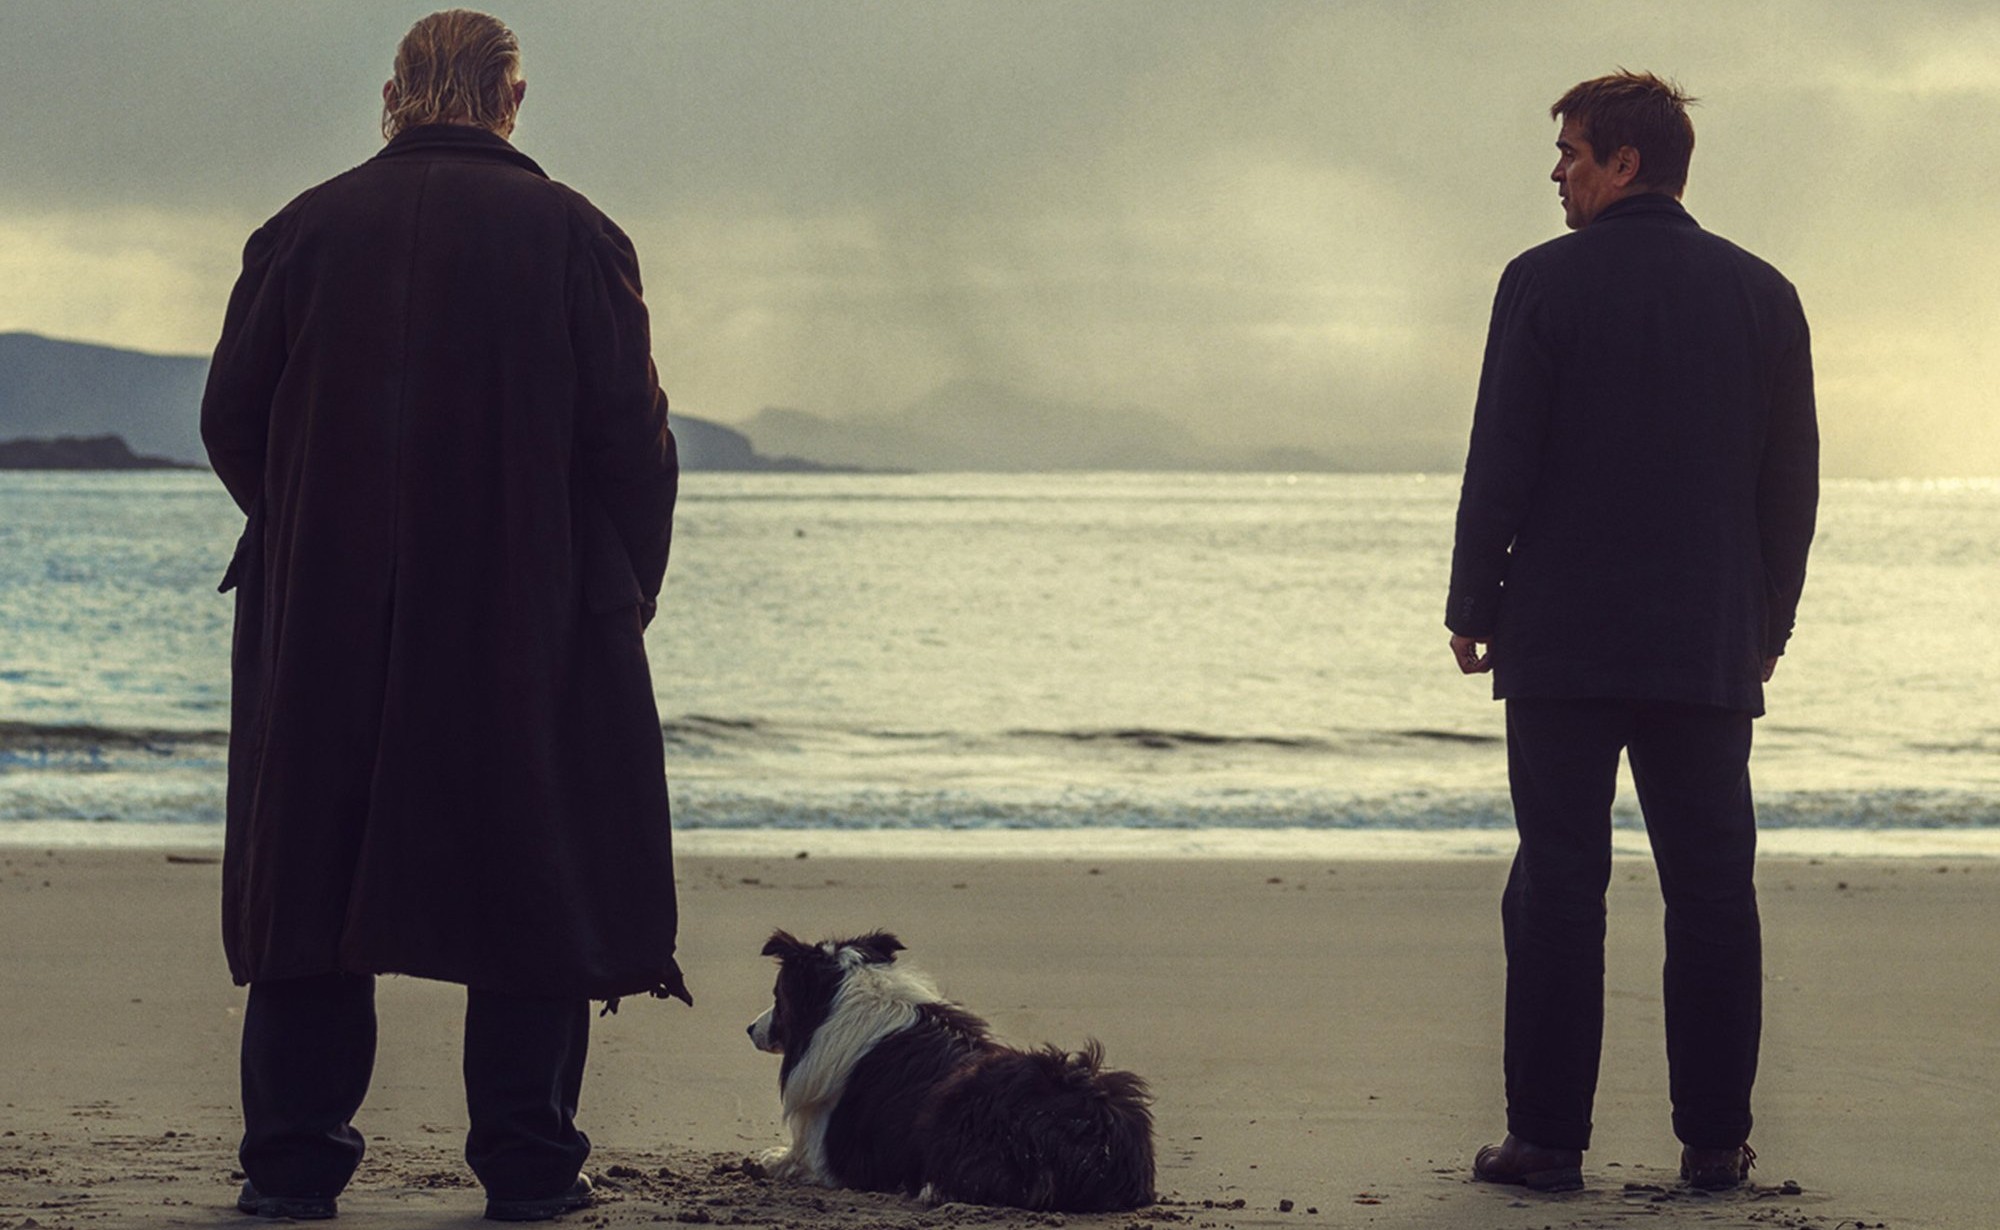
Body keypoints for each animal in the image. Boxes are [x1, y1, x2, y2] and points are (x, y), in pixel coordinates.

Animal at [748, 932, 1160, 1216]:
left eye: (777, 998)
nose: (750, 1029)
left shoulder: (830, 1155)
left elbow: (791, 1159)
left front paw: (767, 1158)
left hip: (962, 1102)